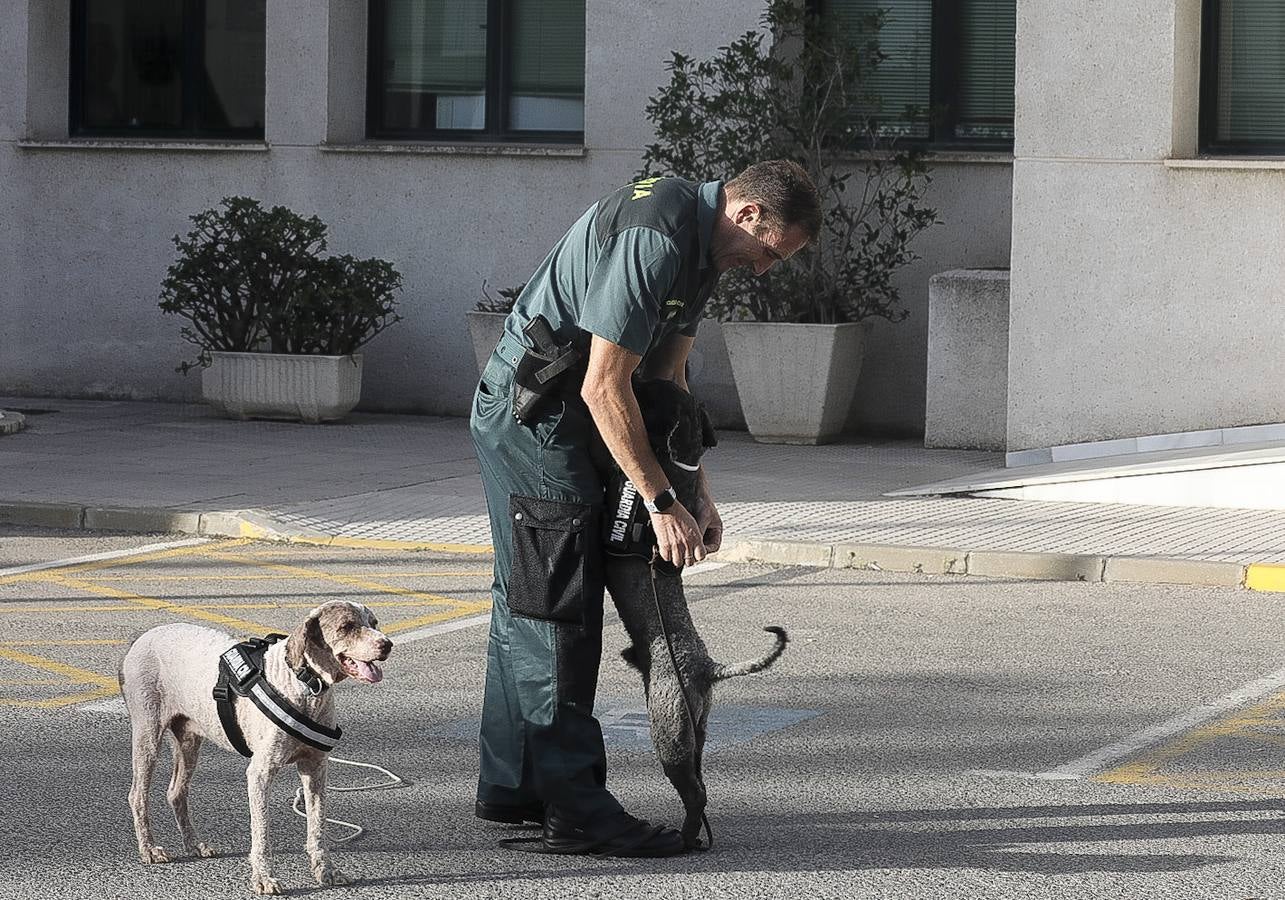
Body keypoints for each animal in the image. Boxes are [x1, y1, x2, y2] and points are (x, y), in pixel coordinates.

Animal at [120, 596, 390, 894]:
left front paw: (325, 871)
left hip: (188, 740)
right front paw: (263, 878)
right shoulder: (260, 773)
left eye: (374, 623)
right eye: (347, 626)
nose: (387, 644)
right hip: (147, 734)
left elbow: (318, 826)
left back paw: (194, 844)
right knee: (137, 795)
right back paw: (149, 849)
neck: (305, 685)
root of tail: (140, 639)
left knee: (176, 792)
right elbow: (261, 830)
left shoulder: (315, 768)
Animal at [603, 380, 791, 848]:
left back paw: (685, 838)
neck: (677, 463)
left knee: (694, 794)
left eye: (652, 391)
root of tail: (708, 668)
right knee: (700, 786)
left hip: (669, 734)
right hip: (697, 732)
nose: (633, 381)